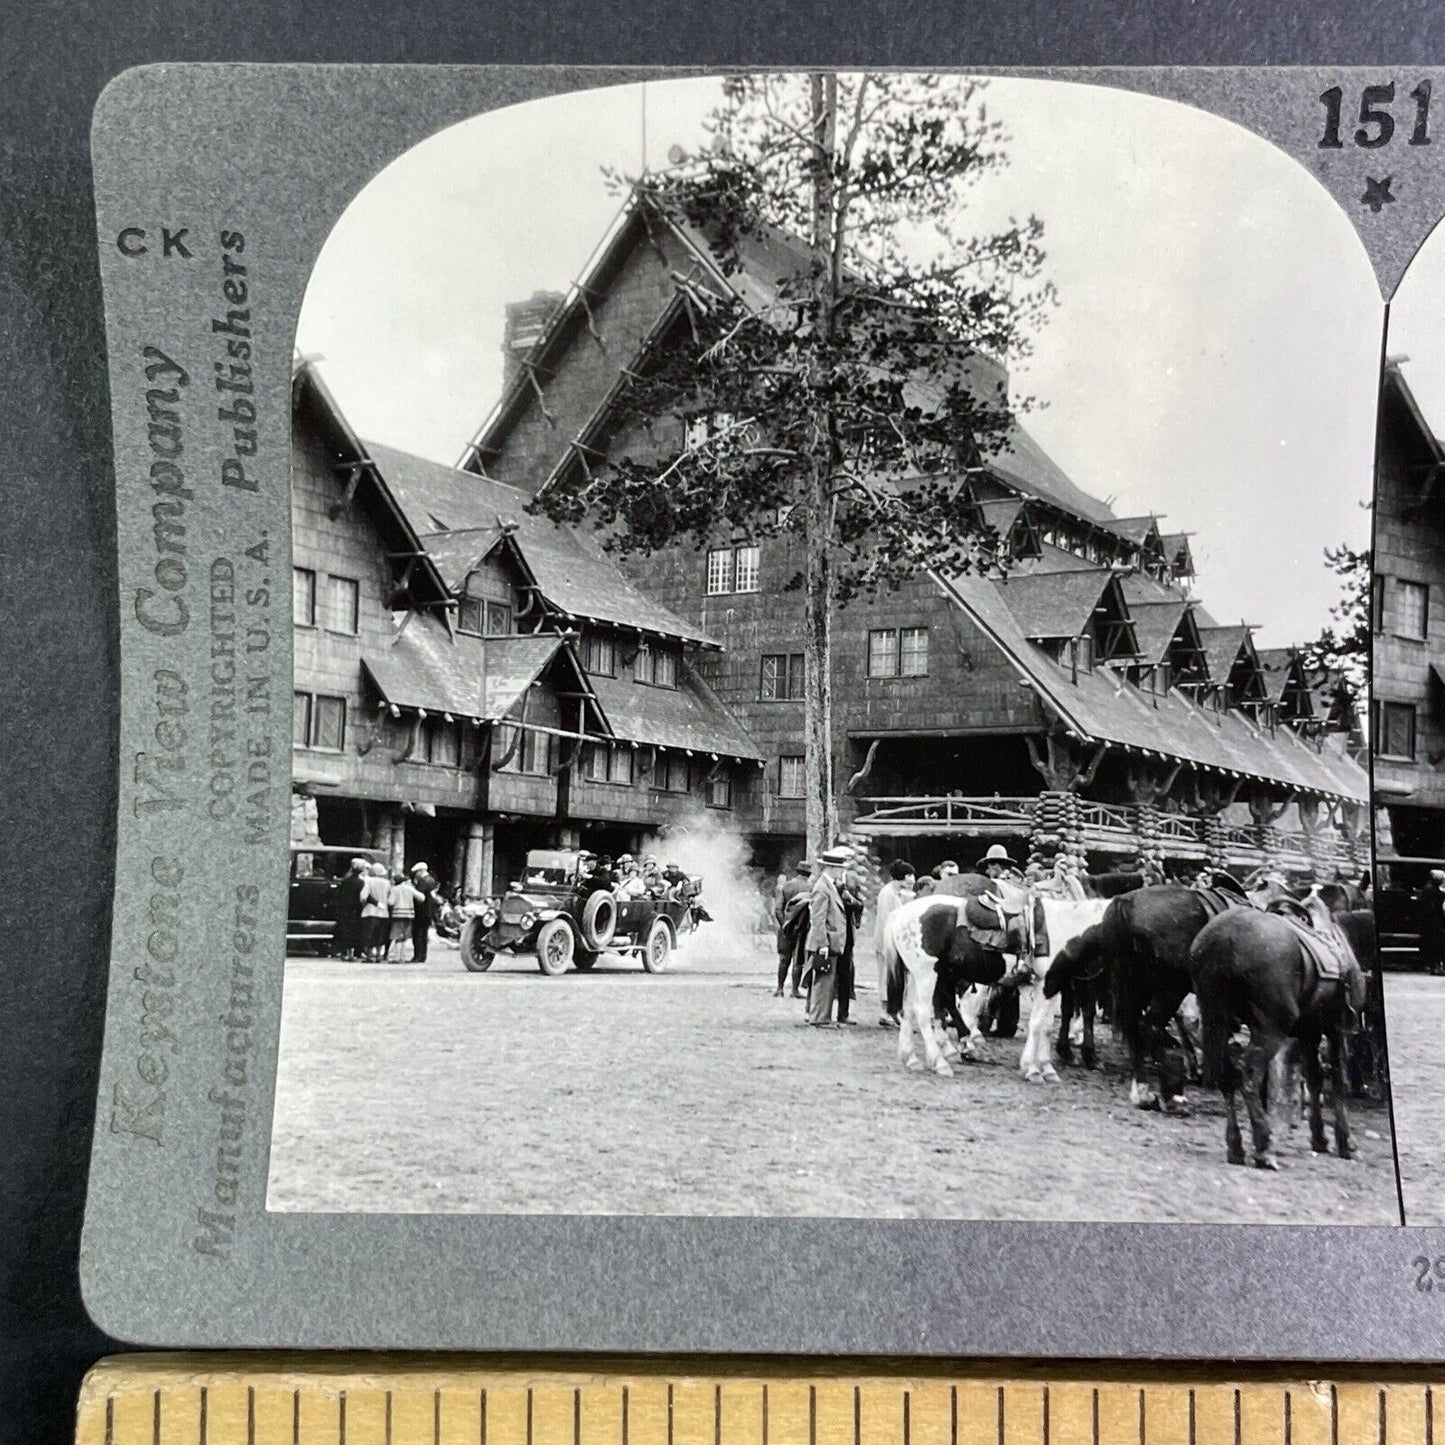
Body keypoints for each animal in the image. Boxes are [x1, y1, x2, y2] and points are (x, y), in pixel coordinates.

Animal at [878, 884, 1103, 1080]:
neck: (1066, 927)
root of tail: (900, 912)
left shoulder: (1049, 986)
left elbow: (1047, 1025)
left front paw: (1047, 1067)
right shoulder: (1049, 983)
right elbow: (1041, 1024)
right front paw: (1035, 1068)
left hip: (917, 974)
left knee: (909, 1010)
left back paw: (912, 1058)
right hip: (927, 974)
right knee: (924, 1012)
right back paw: (941, 1062)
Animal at [1184, 895, 1364, 1167]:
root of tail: (1222, 939)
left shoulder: (1309, 1033)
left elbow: (1314, 1079)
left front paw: (1320, 1138)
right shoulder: (1337, 1028)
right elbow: (1338, 1081)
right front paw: (1346, 1143)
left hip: (1217, 1021)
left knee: (1227, 1075)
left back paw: (1236, 1147)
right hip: (1271, 1028)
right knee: (1248, 1074)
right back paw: (1263, 1147)